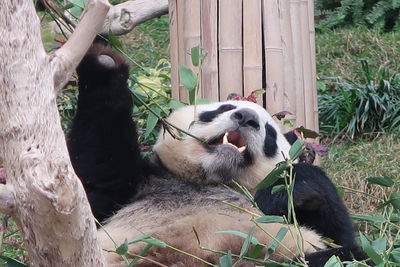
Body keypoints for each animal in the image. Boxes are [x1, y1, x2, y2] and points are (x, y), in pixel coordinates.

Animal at [68, 44, 366, 267]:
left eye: (270, 133)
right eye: (222, 108)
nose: (246, 118)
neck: (213, 179)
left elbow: (337, 232)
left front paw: (288, 187)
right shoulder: (138, 185)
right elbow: (97, 172)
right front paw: (105, 61)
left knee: (343, 257)